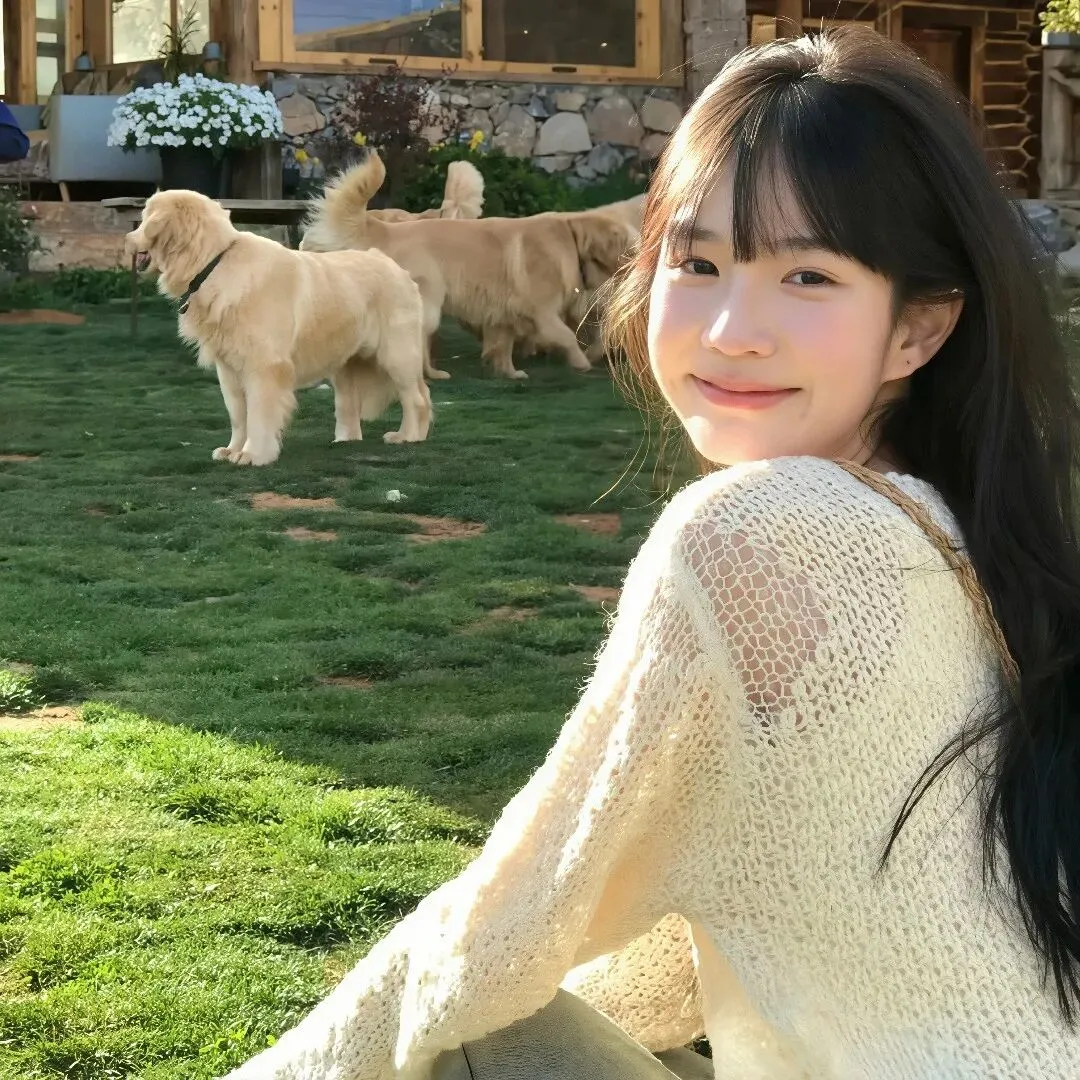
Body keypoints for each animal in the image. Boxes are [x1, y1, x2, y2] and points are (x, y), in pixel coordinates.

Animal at [125, 189, 432, 466]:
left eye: (145, 219)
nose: (126, 239)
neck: (213, 263)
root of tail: (395, 266)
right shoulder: (229, 370)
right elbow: (238, 416)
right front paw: (232, 449)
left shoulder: (265, 367)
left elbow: (259, 415)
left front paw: (253, 454)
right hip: (344, 362)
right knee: (349, 403)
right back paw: (345, 440)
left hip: (396, 355)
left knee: (417, 397)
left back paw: (408, 436)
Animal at [300, 152, 637, 380]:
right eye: (628, 246)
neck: (571, 237)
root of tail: (387, 229)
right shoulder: (541, 311)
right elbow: (566, 336)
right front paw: (582, 363)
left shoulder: (505, 310)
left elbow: (502, 343)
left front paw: (509, 372)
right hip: (429, 304)